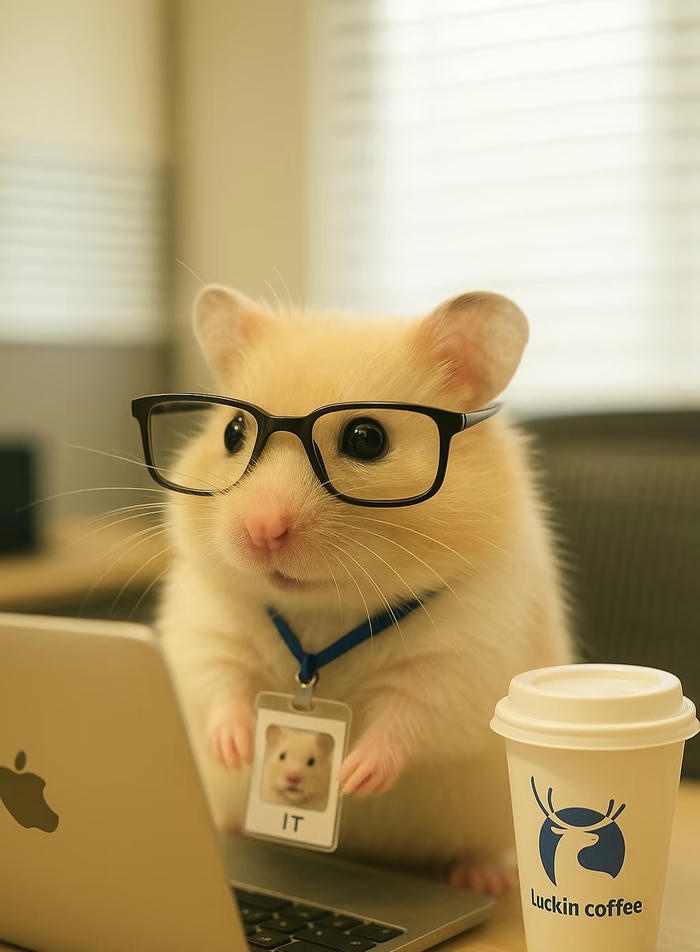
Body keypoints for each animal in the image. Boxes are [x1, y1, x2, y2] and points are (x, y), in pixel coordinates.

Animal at [157, 285, 574, 895]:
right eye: (234, 433)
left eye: (366, 438)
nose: (261, 531)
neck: (325, 612)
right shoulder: (207, 628)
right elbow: (221, 686)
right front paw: (238, 751)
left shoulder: (462, 661)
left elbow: (407, 721)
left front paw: (352, 776)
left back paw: (485, 878)